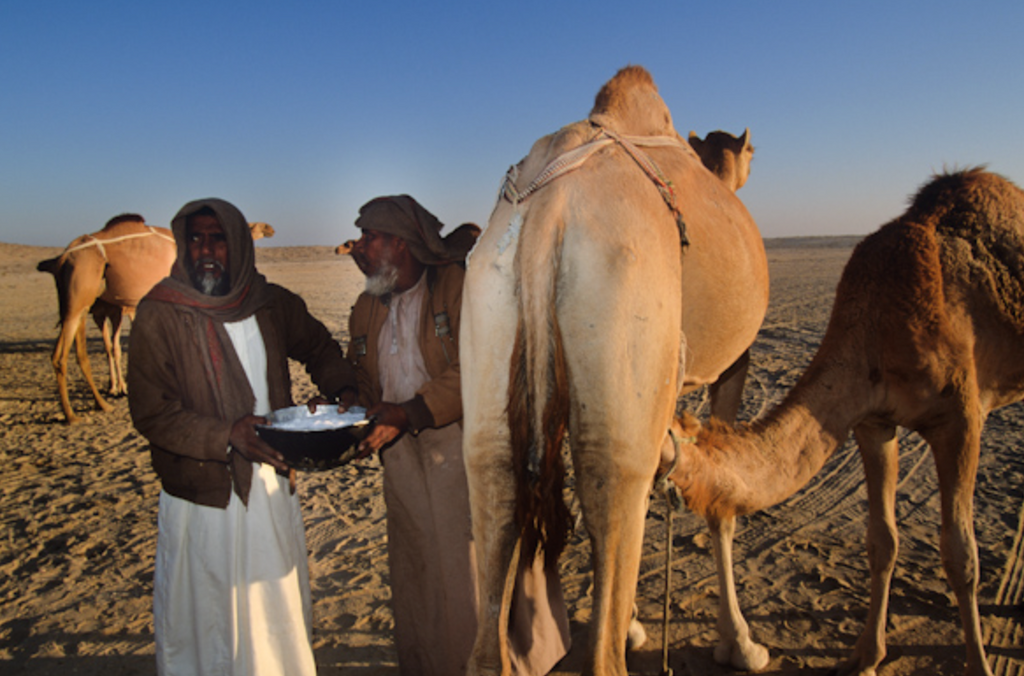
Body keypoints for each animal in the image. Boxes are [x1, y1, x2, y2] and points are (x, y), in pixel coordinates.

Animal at [38, 215, 274, 421]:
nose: (269, 229)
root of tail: (62, 258)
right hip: (80, 291)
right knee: (61, 356)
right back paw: (72, 414)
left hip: (80, 302)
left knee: (81, 352)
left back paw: (102, 402)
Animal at [462, 64, 770, 676]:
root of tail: (550, 207)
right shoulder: (733, 364)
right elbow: (720, 507)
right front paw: (741, 643)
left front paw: (634, 624)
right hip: (623, 287)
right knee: (618, 474)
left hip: (488, 301)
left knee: (496, 475)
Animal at [659, 164, 1019, 676]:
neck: (879, 324)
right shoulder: (872, 420)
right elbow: (881, 540)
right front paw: (866, 656)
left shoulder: (960, 420)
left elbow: (961, 555)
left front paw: (980, 664)